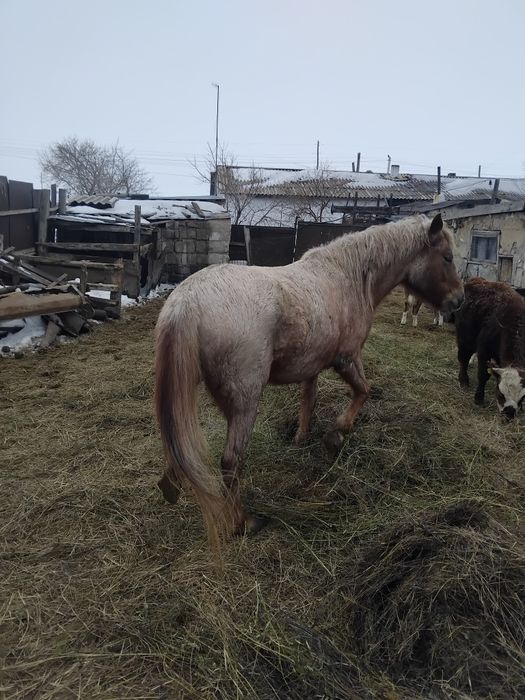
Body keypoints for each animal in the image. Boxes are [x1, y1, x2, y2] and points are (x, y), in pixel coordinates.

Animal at [155, 213, 463, 542]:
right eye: (447, 257)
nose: (459, 301)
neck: (349, 277)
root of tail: (186, 303)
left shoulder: (312, 366)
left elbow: (309, 400)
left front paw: (301, 437)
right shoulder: (347, 358)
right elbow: (364, 390)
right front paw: (336, 434)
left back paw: (172, 485)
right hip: (245, 404)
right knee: (230, 462)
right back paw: (244, 522)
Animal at [456, 277, 525, 417]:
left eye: (522, 398)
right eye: (501, 393)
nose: (509, 413)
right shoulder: (484, 352)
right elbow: (483, 375)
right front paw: (479, 398)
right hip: (464, 340)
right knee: (463, 359)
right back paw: (463, 380)